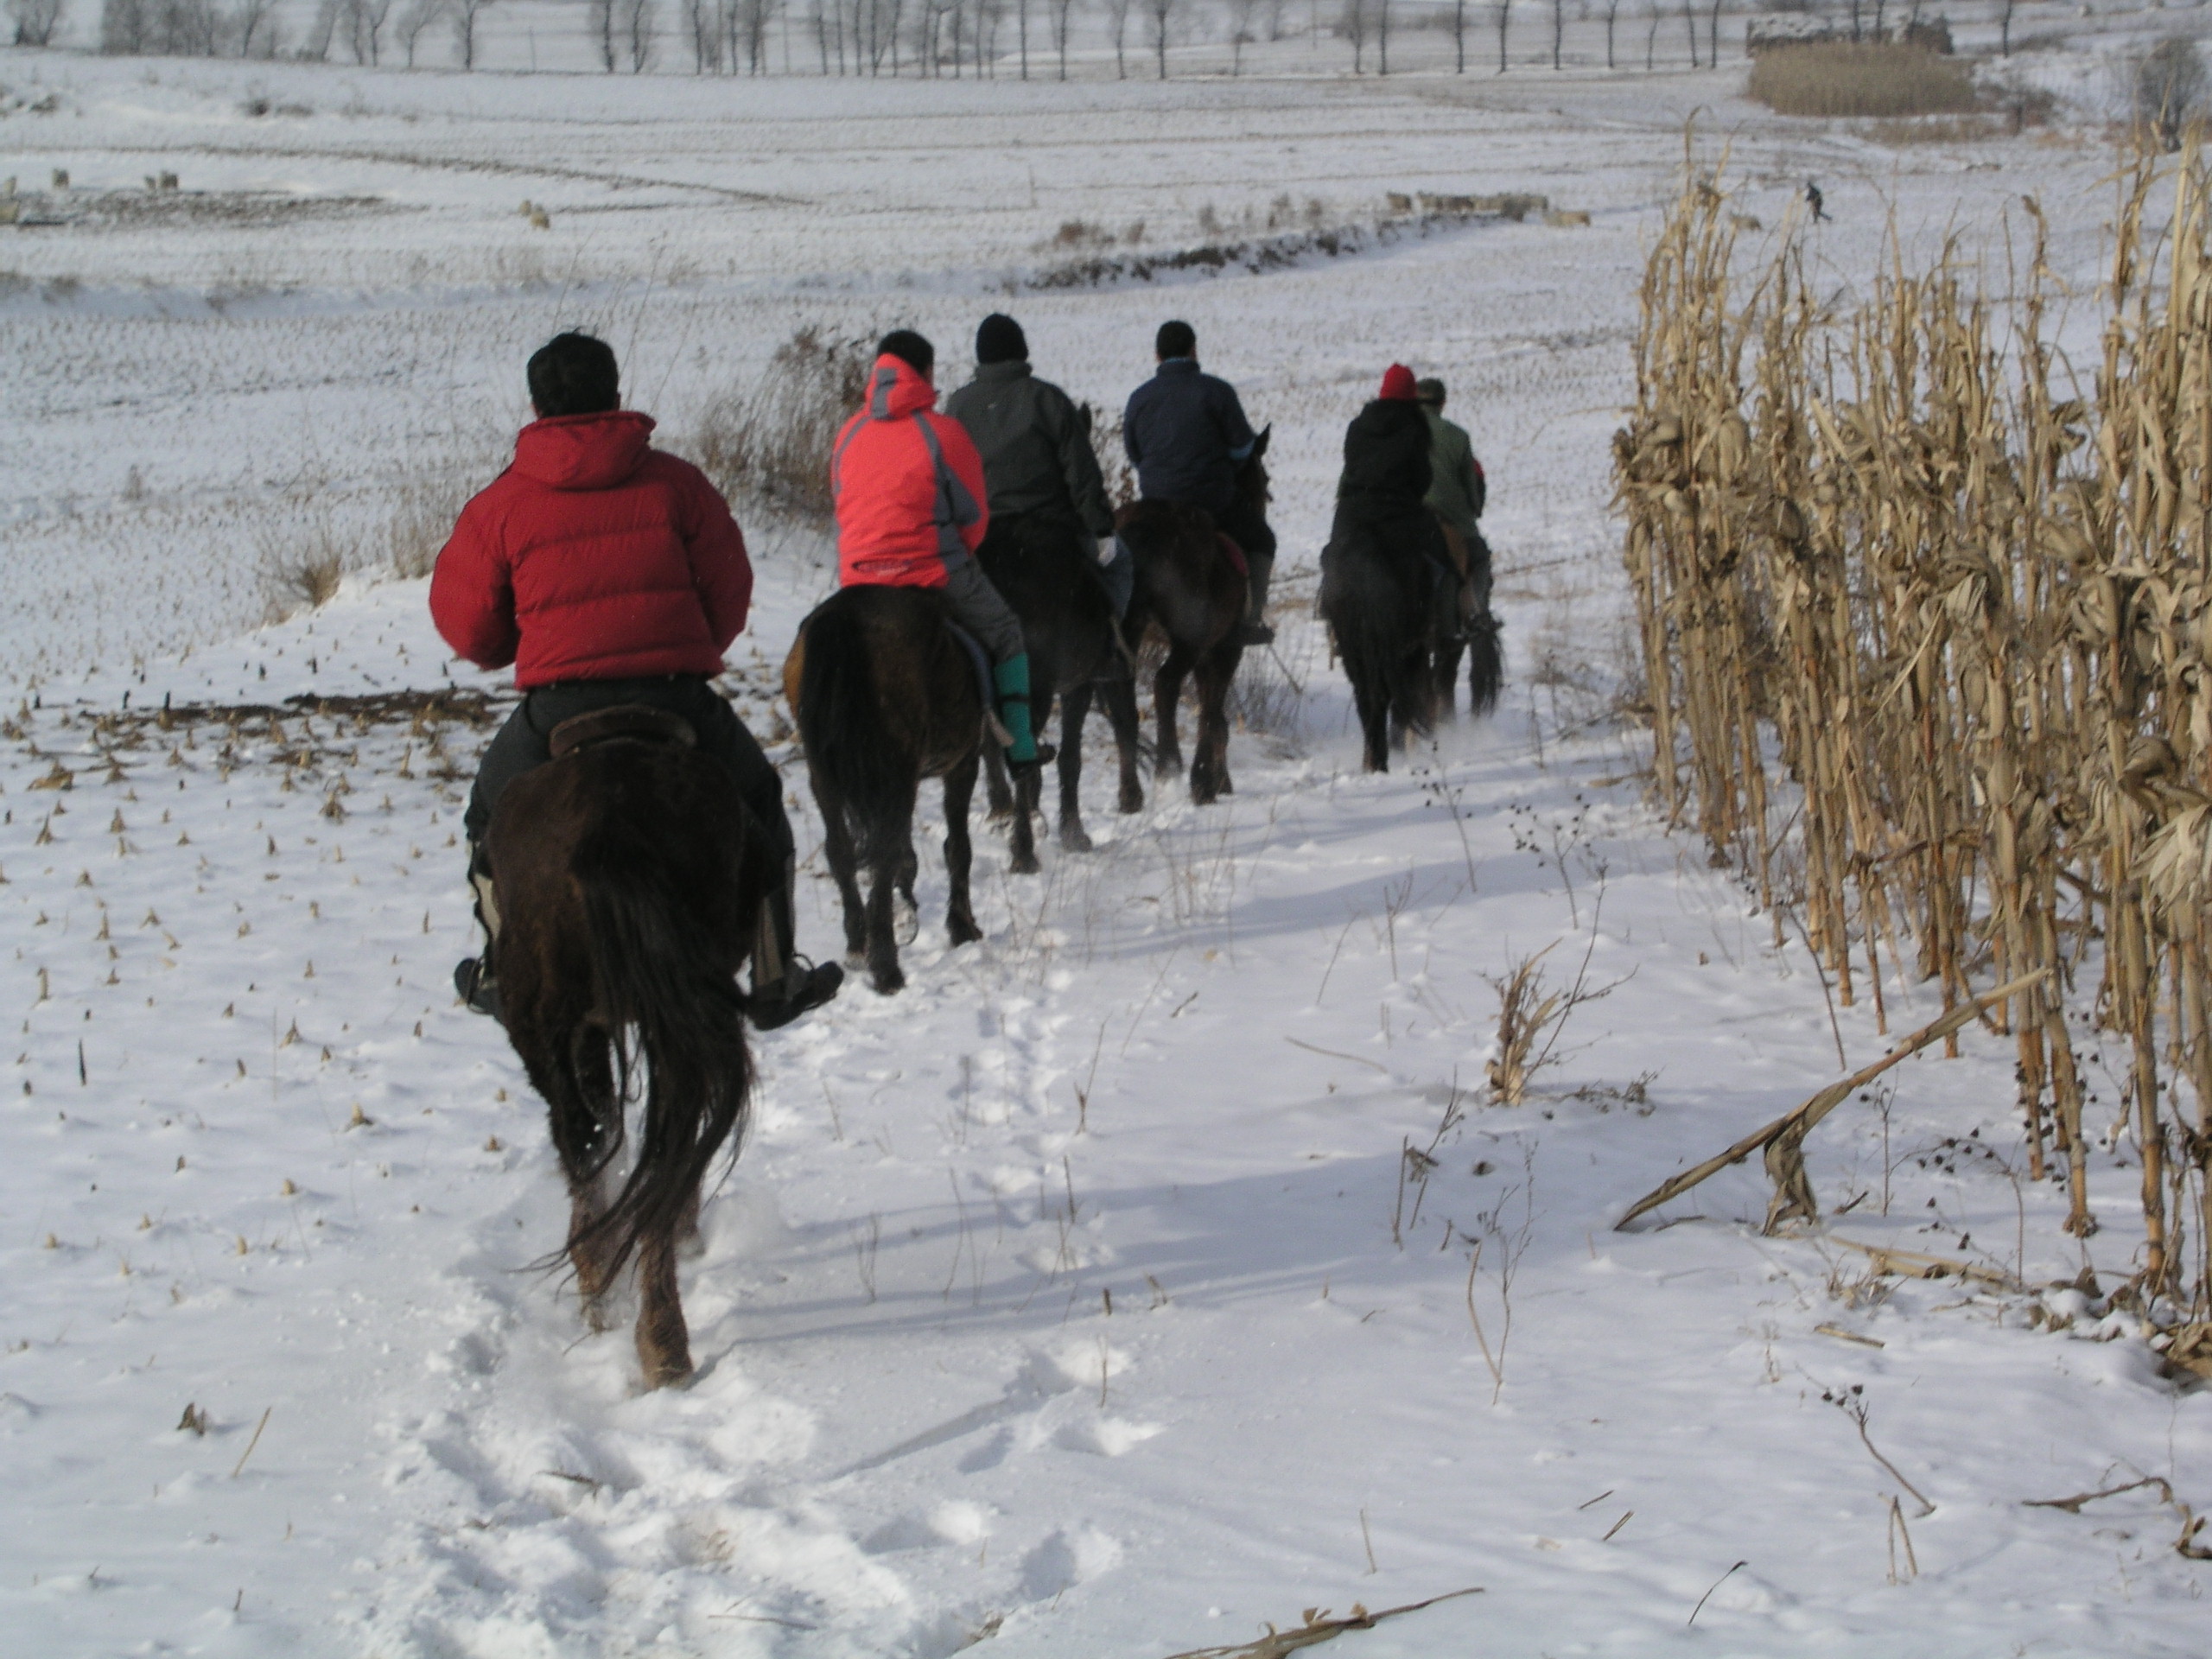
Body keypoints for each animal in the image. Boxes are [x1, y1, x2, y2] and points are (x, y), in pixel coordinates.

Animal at [488, 712, 774, 1389]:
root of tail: (607, 825)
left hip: (549, 1028)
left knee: (600, 1142)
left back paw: (618, 1307)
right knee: (657, 1148)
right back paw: (660, 1339)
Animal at [783, 588, 1000, 995]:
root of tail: (843, 615)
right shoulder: (962, 765)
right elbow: (957, 847)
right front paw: (962, 926)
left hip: (825, 776)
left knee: (841, 852)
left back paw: (857, 945)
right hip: (896, 772)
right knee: (881, 858)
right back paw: (886, 968)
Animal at [1123, 429, 1282, 804]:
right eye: (1263, 479)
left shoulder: (1208, 653)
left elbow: (1215, 717)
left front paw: (1217, 779)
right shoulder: (1224, 650)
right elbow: (1212, 715)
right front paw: (1207, 782)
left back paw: (1130, 794)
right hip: (1188, 640)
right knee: (1165, 684)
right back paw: (1169, 770)